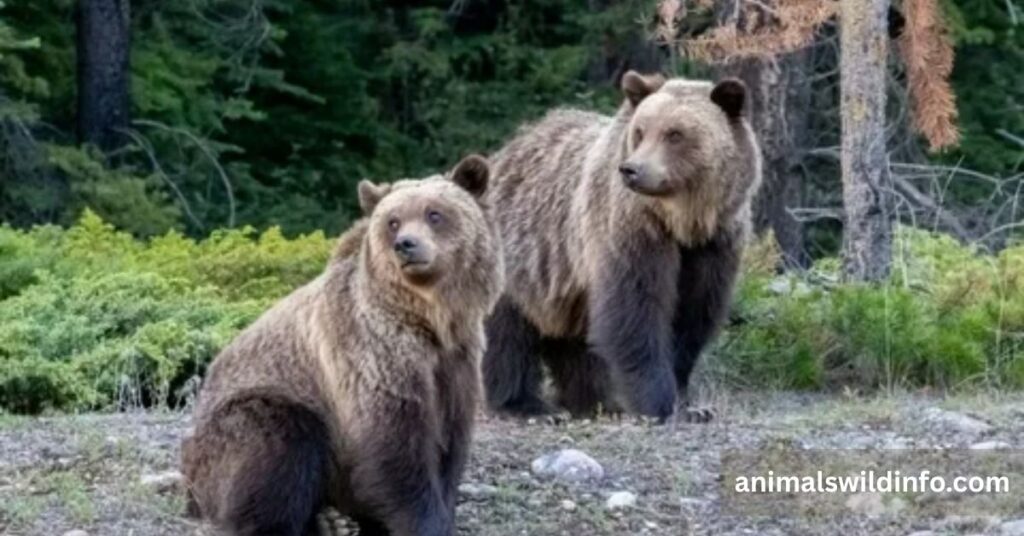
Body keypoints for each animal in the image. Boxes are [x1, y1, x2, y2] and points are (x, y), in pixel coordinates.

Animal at [180, 154, 503, 536]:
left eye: (434, 213)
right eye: (393, 221)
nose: (406, 245)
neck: (431, 319)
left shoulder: (457, 360)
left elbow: (450, 442)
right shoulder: (374, 351)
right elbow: (394, 443)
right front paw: (427, 522)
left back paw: (333, 520)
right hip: (241, 424)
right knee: (280, 442)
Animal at [482, 71, 762, 420]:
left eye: (675, 134)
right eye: (640, 131)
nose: (632, 170)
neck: (683, 222)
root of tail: (501, 153)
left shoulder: (714, 244)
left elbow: (692, 315)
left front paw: (689, 403)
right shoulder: (631, 230)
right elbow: (636, 309)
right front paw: (658, 402)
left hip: (562, 281)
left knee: (573, 339)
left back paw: (595, 400)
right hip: (521, 253)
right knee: (508, 333)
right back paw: (526, 404)